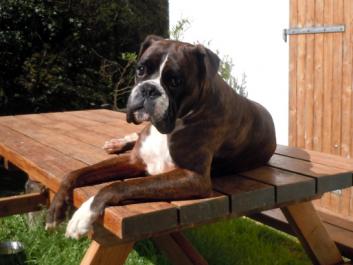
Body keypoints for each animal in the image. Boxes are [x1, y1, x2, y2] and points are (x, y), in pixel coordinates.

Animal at [45, 35, 276, 237]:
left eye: (175, 81)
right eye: (140, 69)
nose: (148, 89)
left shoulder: (193, 177)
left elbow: (119, 185)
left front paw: (83, 215)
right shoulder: (135, 160)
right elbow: (75, 173)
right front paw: (56, 207)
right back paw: (117, 142)